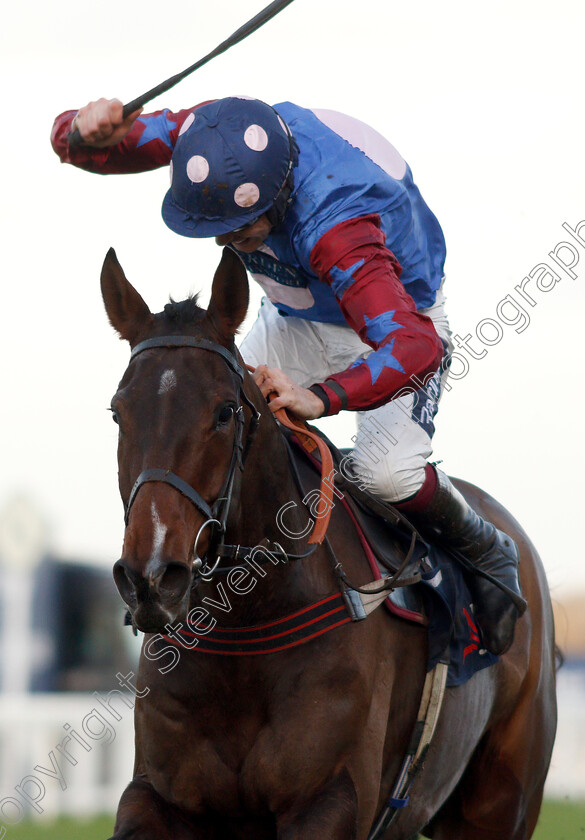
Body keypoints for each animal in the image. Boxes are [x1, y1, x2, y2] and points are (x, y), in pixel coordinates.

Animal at [100, 244, 556, 840]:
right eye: (117, 412)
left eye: (224, 412)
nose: (152, 577)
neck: (245, 636)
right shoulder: (156, 794)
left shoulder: (331, 798)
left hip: (502, 802)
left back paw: (496, 564)